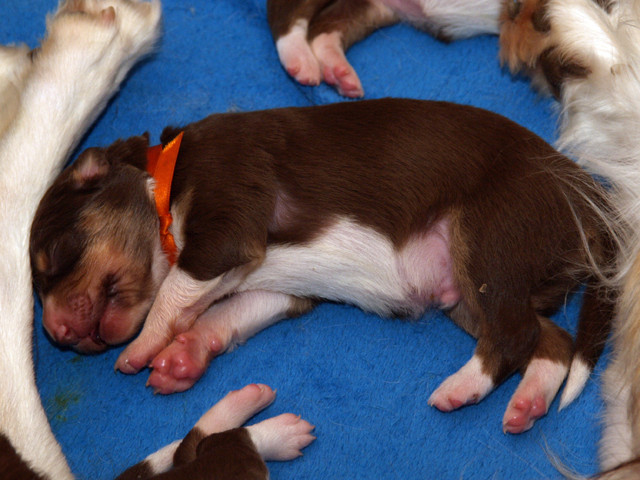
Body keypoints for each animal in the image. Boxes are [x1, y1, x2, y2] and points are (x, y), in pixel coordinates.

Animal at [30, 97, 619, 436]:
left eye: (53, 256)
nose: (56, 333)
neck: (165, 183)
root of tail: (589, 196)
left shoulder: (224, 230)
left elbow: (173, 292)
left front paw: (143, 349)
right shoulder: (274, 288)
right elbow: (224, 316)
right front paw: (182, 358)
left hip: (488, 237)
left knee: (517, 335)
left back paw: (460, 388)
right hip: (476, 290)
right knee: (550, 341)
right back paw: (526, 405)